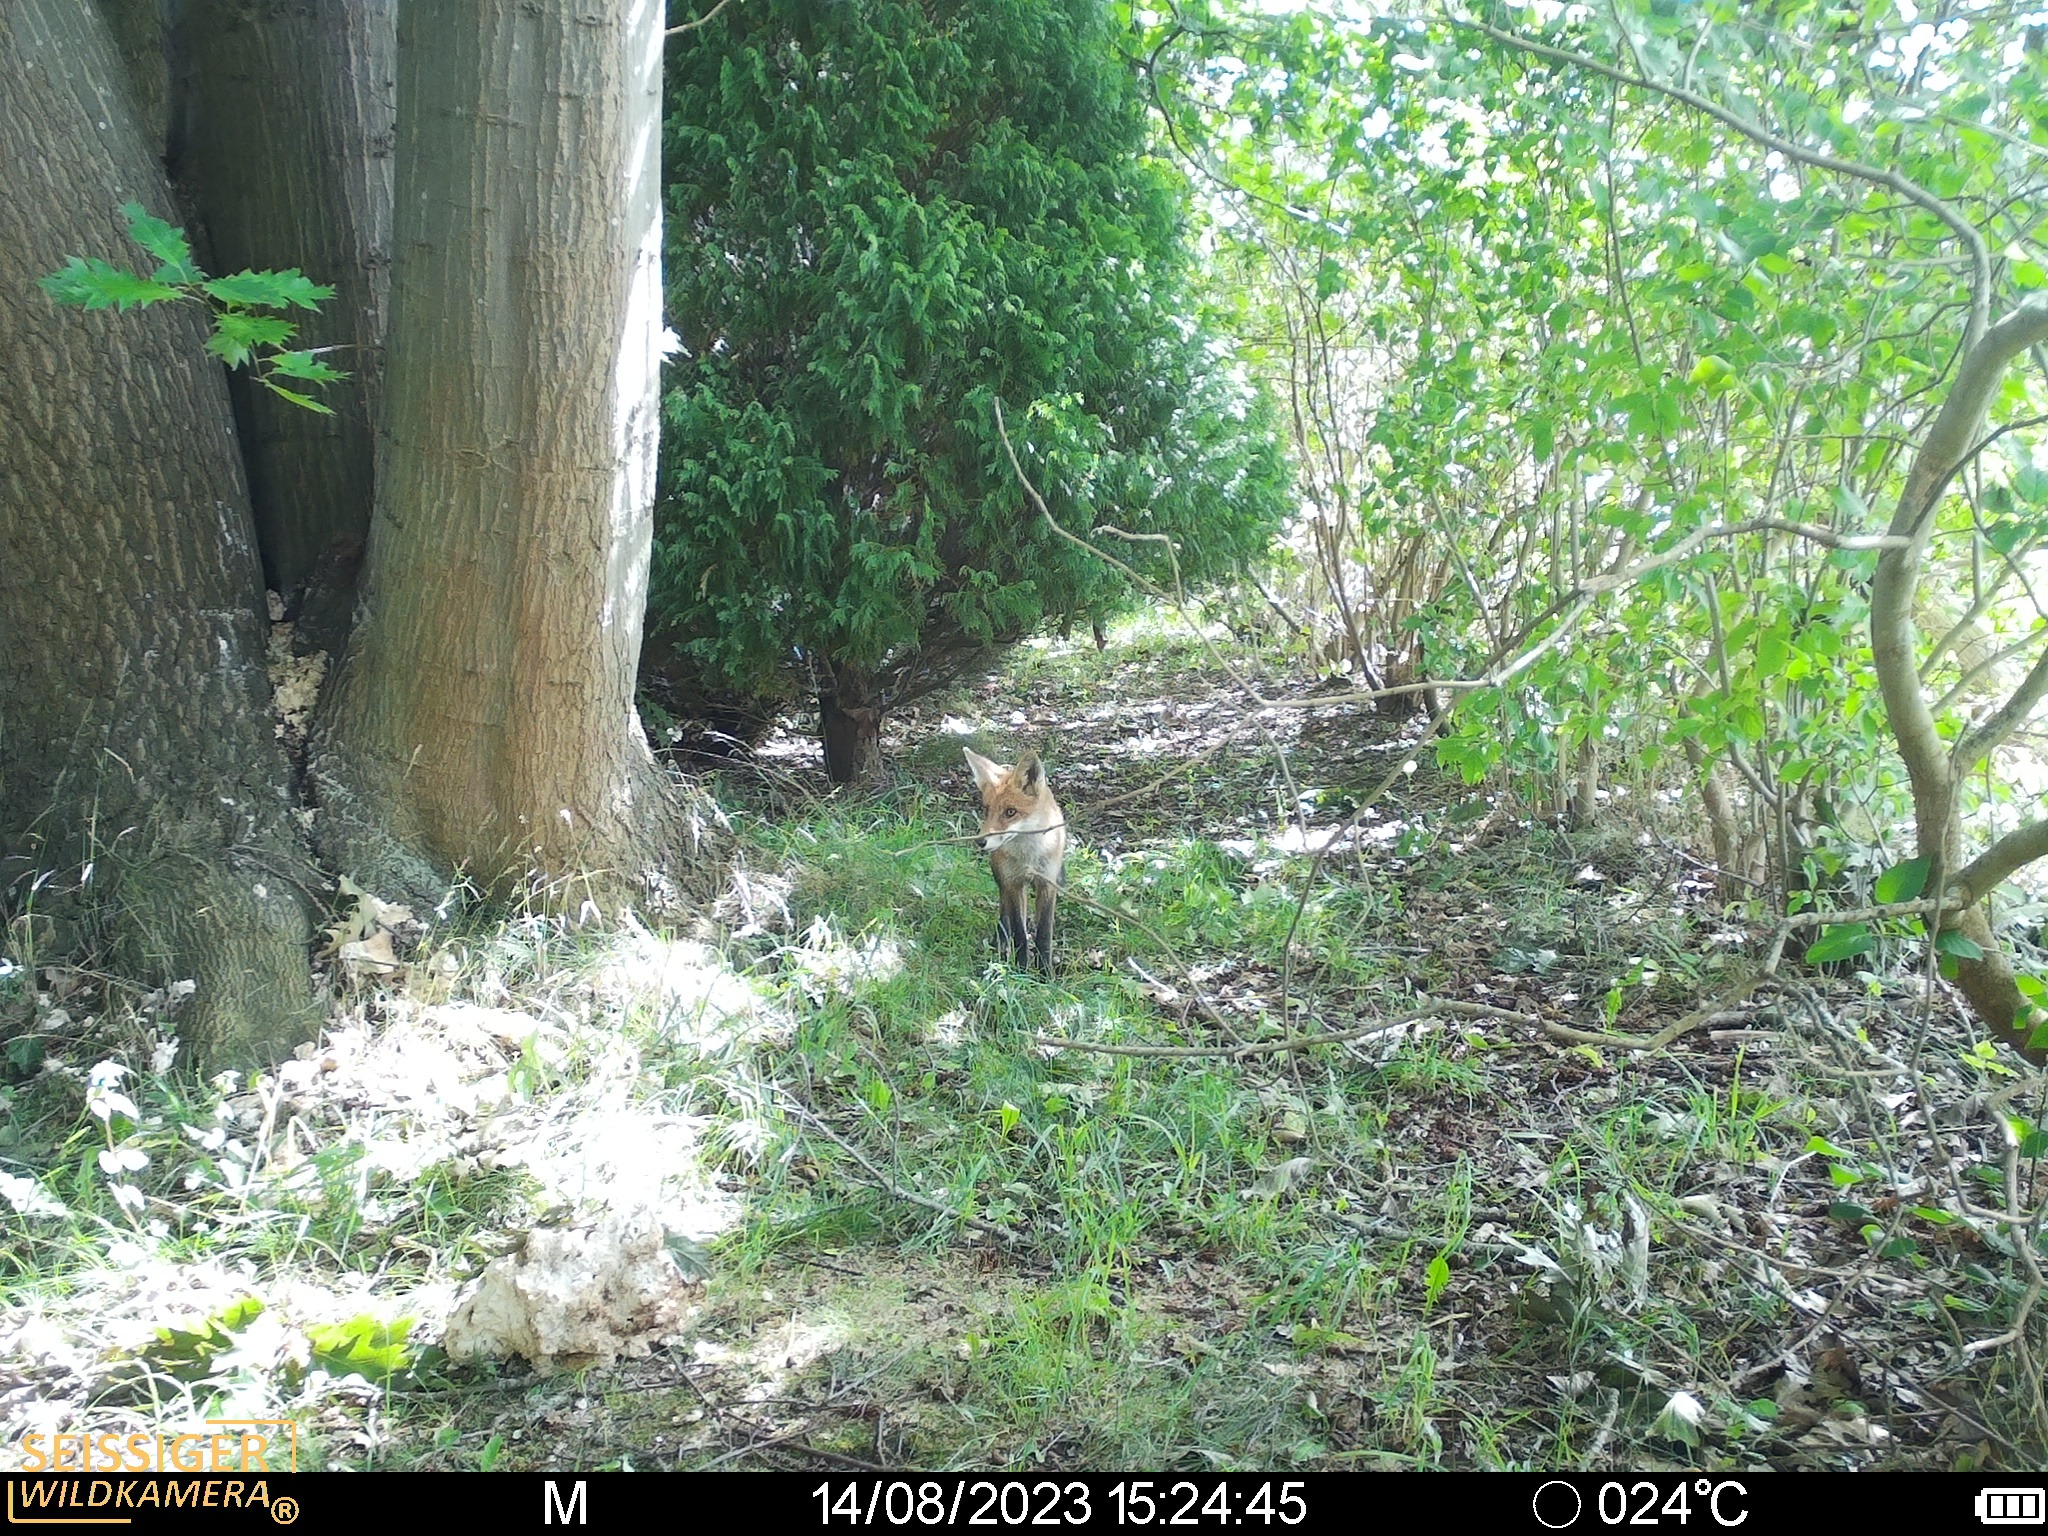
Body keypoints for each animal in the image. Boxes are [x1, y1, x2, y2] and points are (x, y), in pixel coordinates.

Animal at [964, 746, 1068, 973]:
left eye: (1010, 812)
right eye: (986, 809)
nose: (981, 842)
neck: (1029, 858)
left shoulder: (1047, 883)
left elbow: (1044, 933)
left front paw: (1046, 973)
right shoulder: (1013, 883)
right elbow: (1019, 933)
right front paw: (1022, 969)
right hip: (1002, 877)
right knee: (1004, 911)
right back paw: (1001, 942)